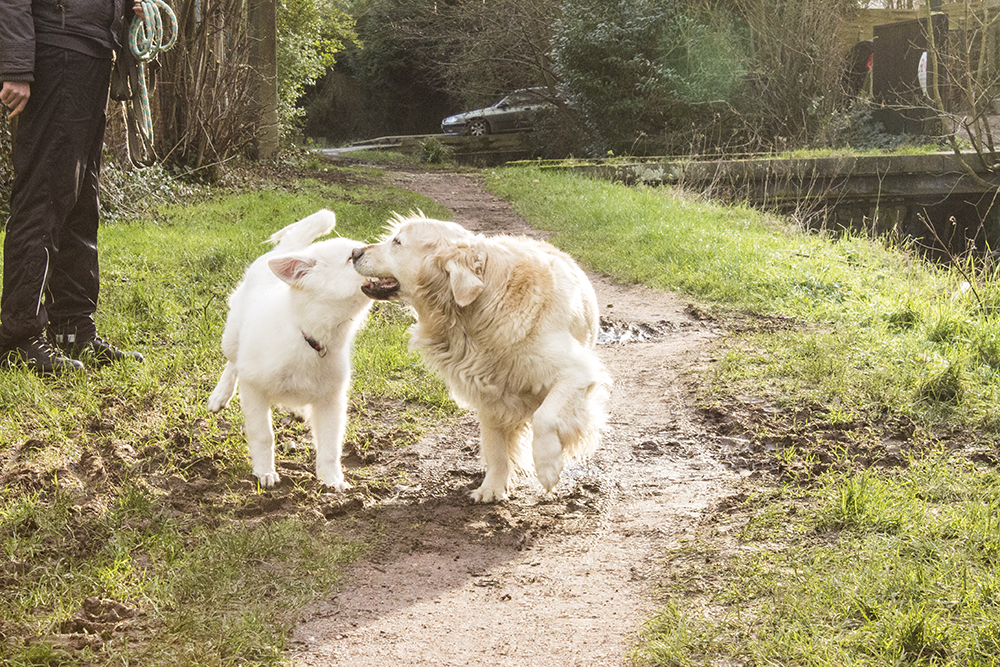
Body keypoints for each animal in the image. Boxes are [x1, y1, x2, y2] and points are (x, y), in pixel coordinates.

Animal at [209, 209, 374, 490]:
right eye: (350, 257)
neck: (309, 337)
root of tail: (286, 250)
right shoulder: (253, 389)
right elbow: (263, 434)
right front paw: (264, 471)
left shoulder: (331, 400)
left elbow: (330, 444)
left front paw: (332, 479)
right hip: (231, 339)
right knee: (232, 363)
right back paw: (220, 395)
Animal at [352, 214, 608, 500]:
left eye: (397, 241)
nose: (354, 252)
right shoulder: (487, 392)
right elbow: (494, 445)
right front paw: (492, 487)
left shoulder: (577, 371)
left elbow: (545, 416)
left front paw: (548, 467)